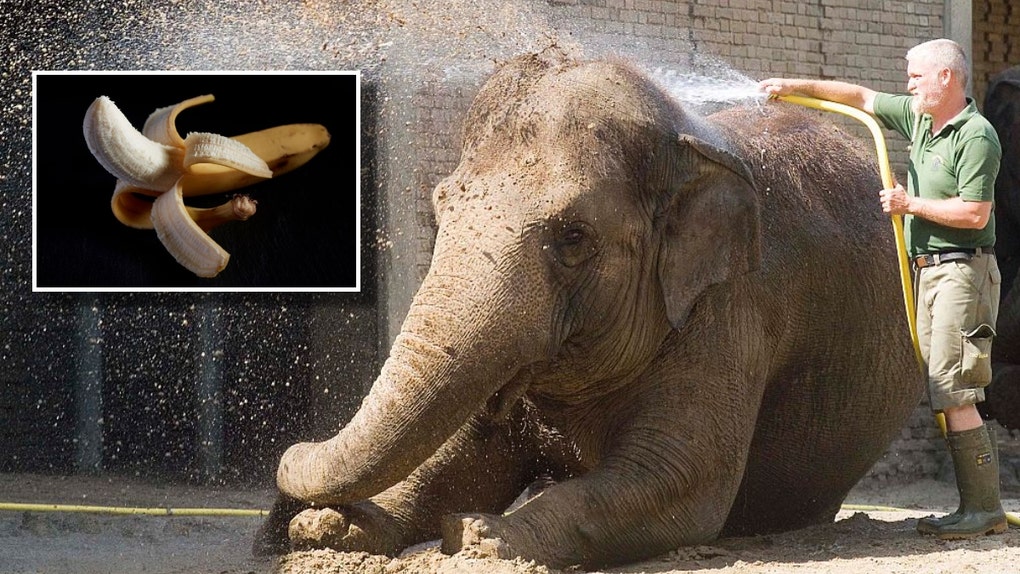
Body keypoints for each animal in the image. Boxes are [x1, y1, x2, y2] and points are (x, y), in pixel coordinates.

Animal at [253, 52, 922, 569]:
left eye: (573, 237)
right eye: (441, 208)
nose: (286, 455)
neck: (686, 144)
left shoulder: (735, 308)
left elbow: (682, 476)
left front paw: (480, 536)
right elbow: (458, 462)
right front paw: (327, 530)